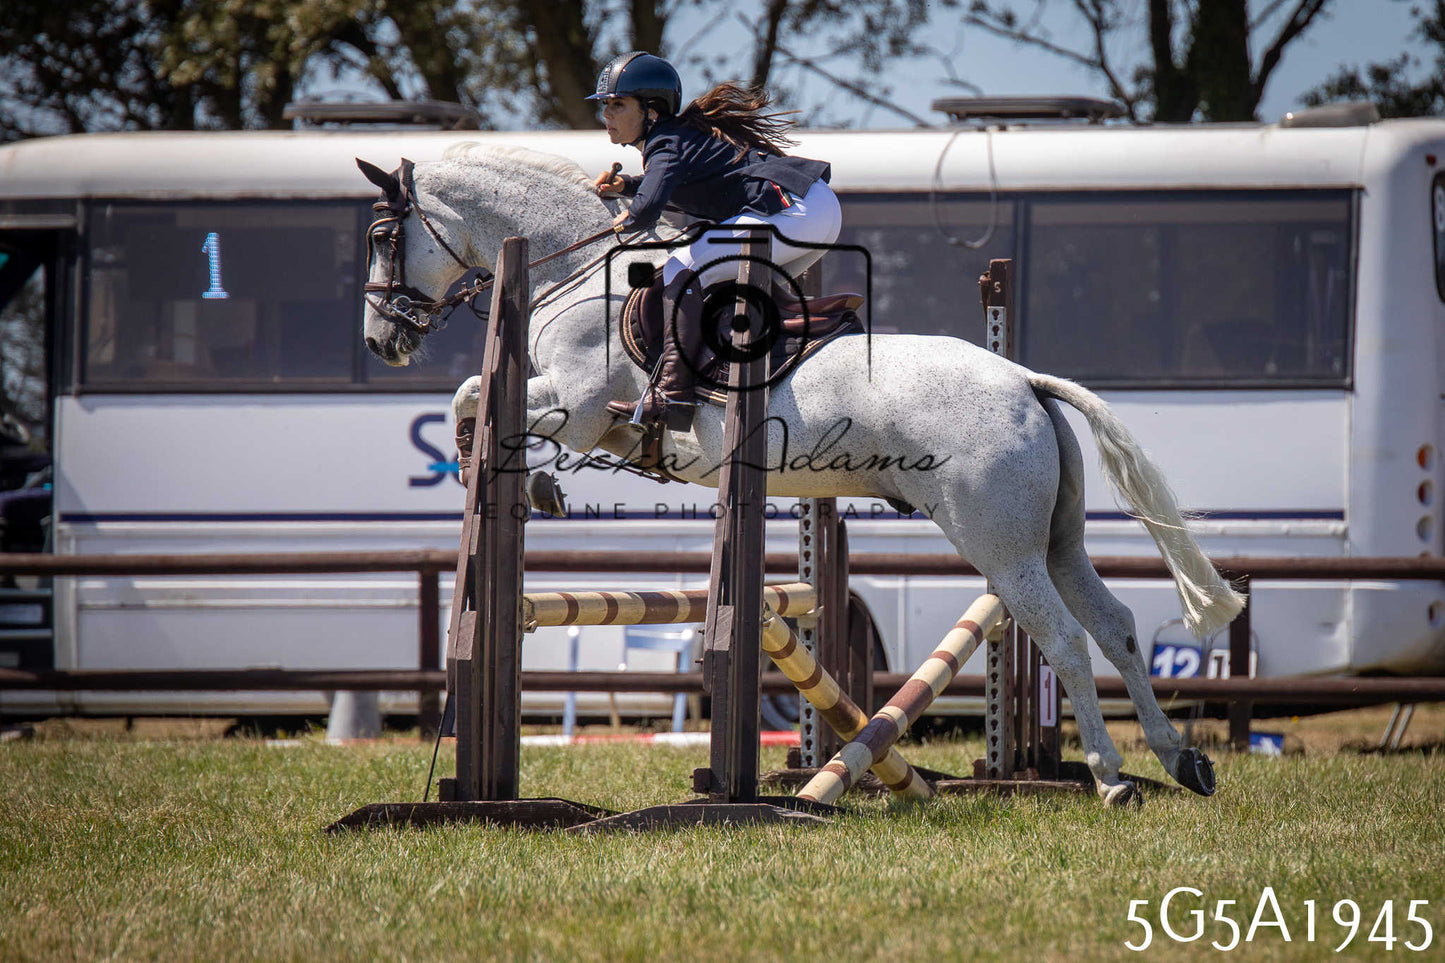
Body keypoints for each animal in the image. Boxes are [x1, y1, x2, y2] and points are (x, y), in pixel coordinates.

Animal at [357, 143, 1244, 807]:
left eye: (380, 236)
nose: (380, 341)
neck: (574, 276)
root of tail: (1024, 379)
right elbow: (476, 394)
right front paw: (499, 467)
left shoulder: (577, 407)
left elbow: (489, 401)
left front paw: (510, 471)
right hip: (1054, 542)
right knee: (1115, 625)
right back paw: (1179, 761)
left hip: (1002, 549)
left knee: (1061, 637)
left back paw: (1109, 778)